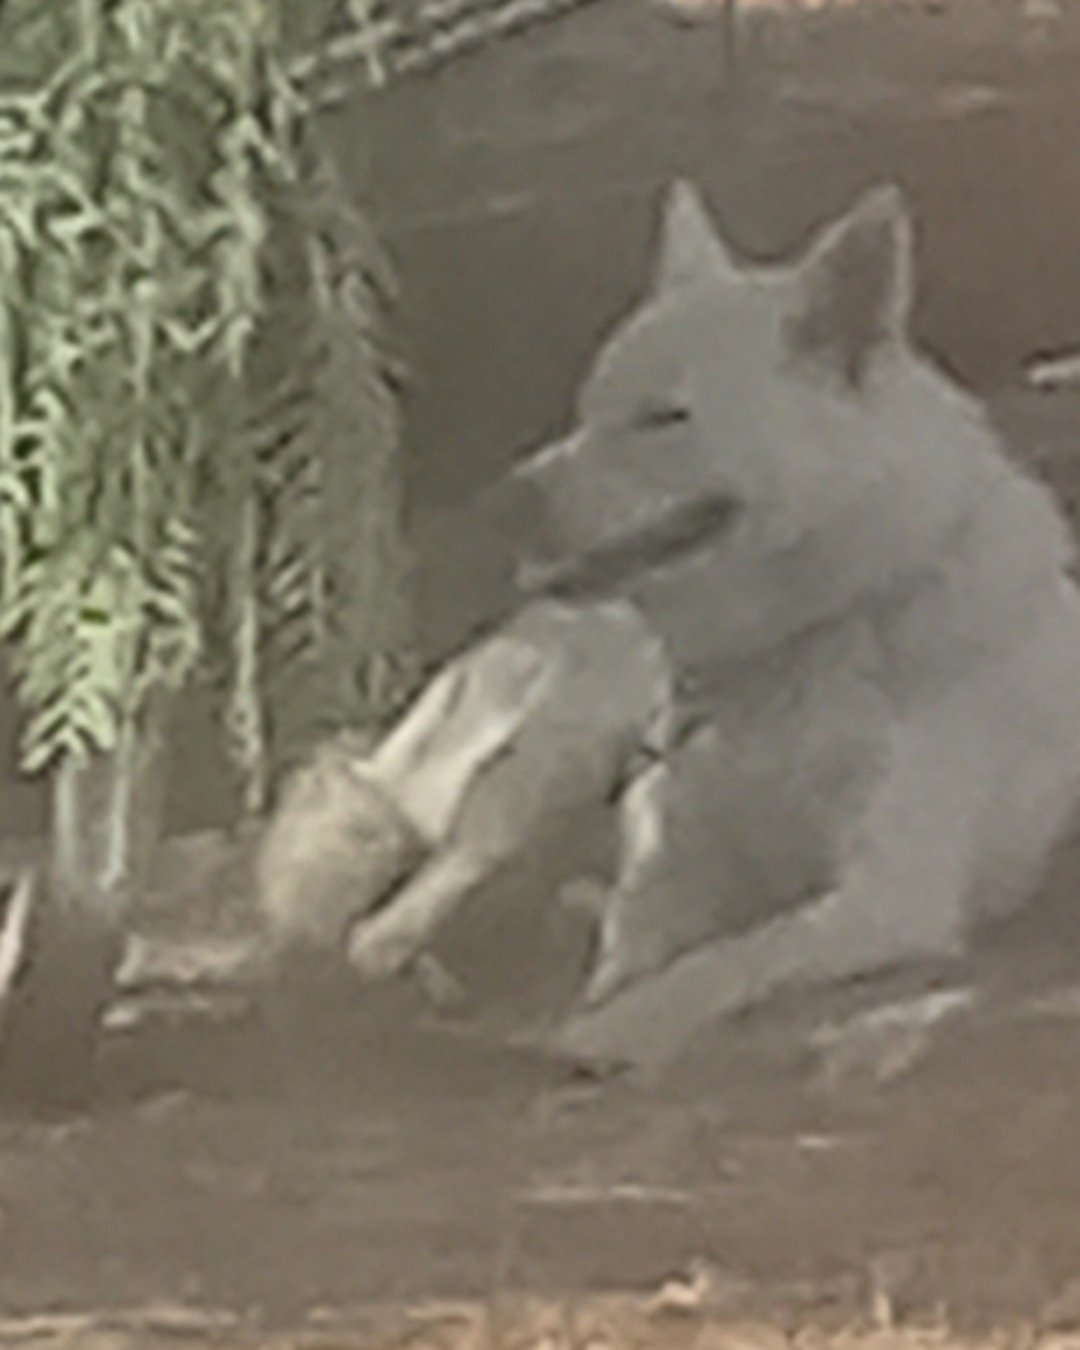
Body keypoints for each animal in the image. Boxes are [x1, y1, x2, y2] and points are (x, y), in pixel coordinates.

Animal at [496, 179, 1080, 1075]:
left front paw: (617, 1030)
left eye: (665, 417)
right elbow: (634, 942)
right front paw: (598, 1002)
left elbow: (725, 959)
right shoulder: (675, 853)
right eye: (588, 409)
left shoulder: (885, 895)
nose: (510, 499)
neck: (804, 640)